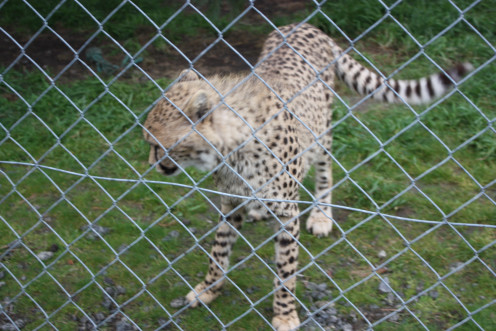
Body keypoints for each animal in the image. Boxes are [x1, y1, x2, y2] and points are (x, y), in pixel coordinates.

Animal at [141, 23, 470, 331]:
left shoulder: (287, 214)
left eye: (156, 145)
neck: (232, 149)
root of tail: (302, 25)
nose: (151, 163)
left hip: (323, 131)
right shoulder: (230, 204)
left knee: (324, 173)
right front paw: (208, 288)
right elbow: (218, 250)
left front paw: (285, 314)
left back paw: (321, 215)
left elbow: (285, 272)